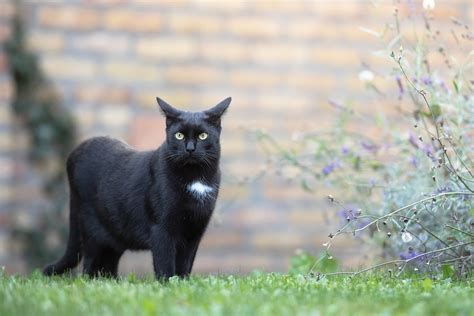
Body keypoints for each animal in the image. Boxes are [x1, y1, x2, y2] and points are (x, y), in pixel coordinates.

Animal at [42, 97, 231, 278]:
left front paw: (182, 283)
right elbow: (165, 264)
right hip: (91, 231)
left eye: (203, 136)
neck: (194, 177)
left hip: (115, 236)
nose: (190, 148)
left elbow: (185, 265)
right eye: (179, 135)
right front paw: (168, 284)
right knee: (89, 267)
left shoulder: (194, 232)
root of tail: (74, 153)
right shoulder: (161, 229)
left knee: (107, 265)